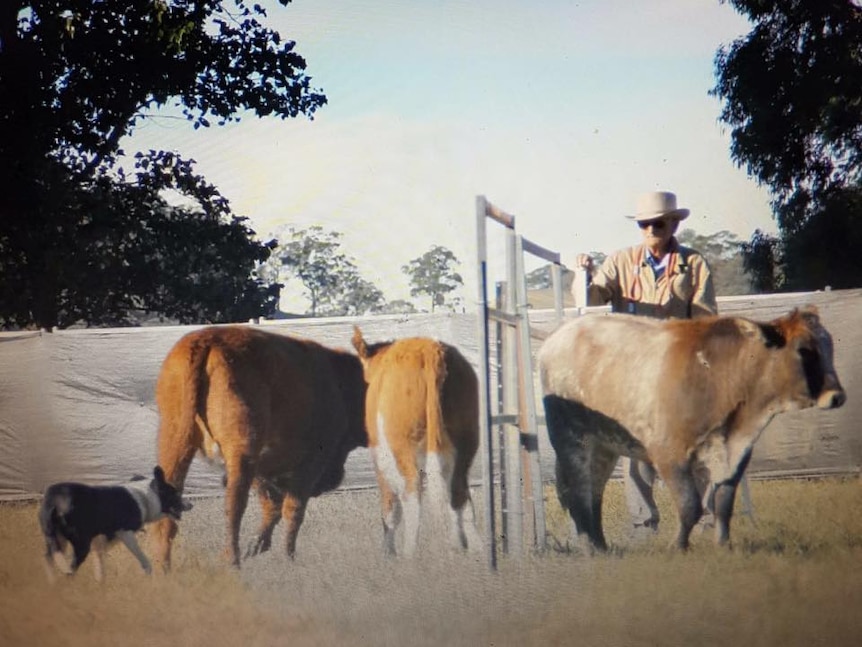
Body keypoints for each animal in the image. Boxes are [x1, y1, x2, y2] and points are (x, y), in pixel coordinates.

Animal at [39, 466, 192, 584]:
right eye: (176, 494)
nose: (191, 504)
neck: (146, 498)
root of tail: (56, 500)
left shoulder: (99, 543)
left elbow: (100, 570)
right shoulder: (126, 534)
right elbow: (145, 561)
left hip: (57, 540)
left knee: (49, 559)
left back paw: (52, 586)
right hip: (81, 545)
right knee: (70, 568)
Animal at [154, 326, 366, 568]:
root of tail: (206, 340)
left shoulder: (262, 466)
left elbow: (271, 504)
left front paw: (257, 546)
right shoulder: (310, 464)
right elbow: (292, 509)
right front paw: (288, 558)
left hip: (176, 442)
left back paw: (163, 567)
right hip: (241, 451)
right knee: (234, 505)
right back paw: (232, 561)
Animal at [352, 330, 486, 556]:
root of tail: (429, 350)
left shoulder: (380, 457)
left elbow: (390, 509)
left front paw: (388, 553)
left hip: (400, 449)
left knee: (412, 498)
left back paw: (409, 556)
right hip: (466, 440)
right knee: (459, 495)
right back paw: (474, 550)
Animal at [544, 308, 848, 552]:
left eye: (829, 347)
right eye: (803, 350)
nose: (837, 396)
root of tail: (557, 337)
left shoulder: (735, 453)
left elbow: (723, 504)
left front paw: (723, 546)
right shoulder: (670, 455)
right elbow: (690, 505)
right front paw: (678, 546)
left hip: (603, 447)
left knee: (594, 492)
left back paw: (601, 546)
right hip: (572, 442)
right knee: (579, 490)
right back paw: (590, 547)